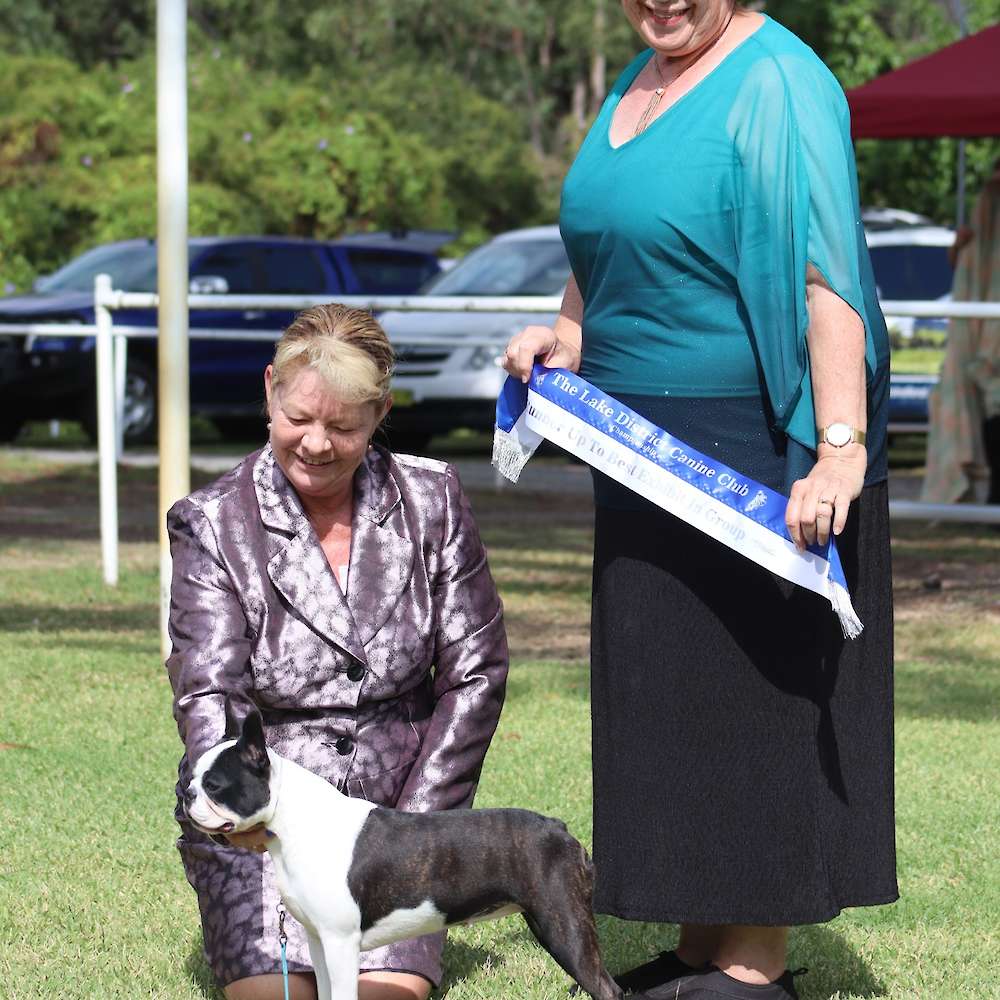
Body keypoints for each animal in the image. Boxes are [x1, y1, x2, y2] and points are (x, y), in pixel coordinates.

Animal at [184, 704, 620, 1000]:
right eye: (191, 777)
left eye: (214, 785)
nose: (186, 793)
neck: (294, 823)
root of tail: (559, 829)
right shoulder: (318, 941)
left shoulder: (341, 944)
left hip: (563, 925)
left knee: (606, 988)